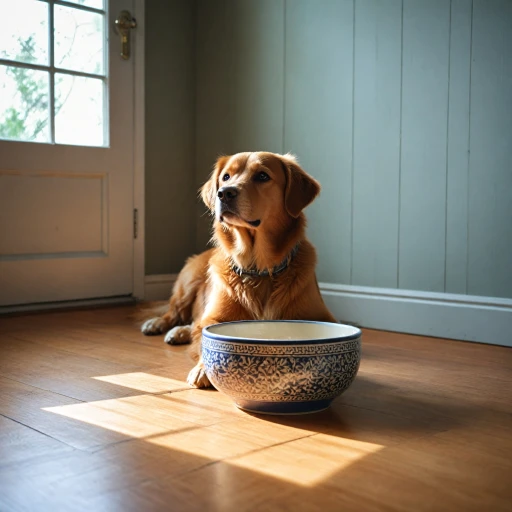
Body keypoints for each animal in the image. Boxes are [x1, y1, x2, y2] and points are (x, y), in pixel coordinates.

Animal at [140, 150, 336, 386]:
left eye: (262, 176)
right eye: (226, 177)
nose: (224, 194)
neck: (259, 268)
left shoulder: (324, 318)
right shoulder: (215, 318)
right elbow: (206, 338)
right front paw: (203, 369)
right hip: (188, 280)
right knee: (177, 314)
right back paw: (159, 325)